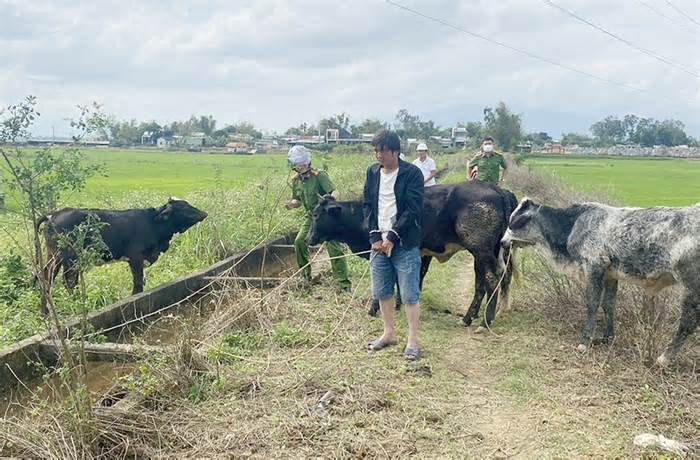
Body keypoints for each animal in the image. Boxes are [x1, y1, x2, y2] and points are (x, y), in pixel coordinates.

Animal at [38, 197, 206, 308]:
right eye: (183, 207)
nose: (204, 213)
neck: (153, 225)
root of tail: (53, 214)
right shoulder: (136, 258)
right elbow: (138, 283)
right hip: (70, 259)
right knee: (69, 281)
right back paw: (76, 304)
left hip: (54, 256)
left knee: (47, 276)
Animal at [308, 181, 516, 328]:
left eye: (316, 215)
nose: (309, 239)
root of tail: (497, 189)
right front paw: (400, 304)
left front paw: (375, 309)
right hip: (484, 254)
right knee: (482, 282)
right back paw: (468, 318)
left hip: (481, 250)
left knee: (492, 278)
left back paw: (486, 321)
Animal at [500, 198, 696, 366]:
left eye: (513, 222)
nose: (502, 242)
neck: (573, 224)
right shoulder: (610, 275)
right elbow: (608, 304)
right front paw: (608, 337)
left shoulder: (594, 266)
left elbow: (593, 303)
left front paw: (585, 341)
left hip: (691, 286)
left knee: (688, 322)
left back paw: (665, 358)